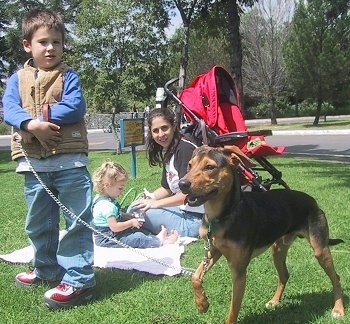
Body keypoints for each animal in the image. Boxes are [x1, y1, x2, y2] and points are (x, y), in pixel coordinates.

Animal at [179, 145, 344, 324]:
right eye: (189, 165)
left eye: (209, 167)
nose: (182, 184)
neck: (223, 215)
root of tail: (313, 201)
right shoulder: (213, 250)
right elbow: (195, 276)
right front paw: (202, 303)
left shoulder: (238, 271)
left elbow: (232, 312)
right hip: (277, 250)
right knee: (284, 275)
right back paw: (274, 301)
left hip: (320, 250)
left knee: (336, 277)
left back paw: (338, 309)